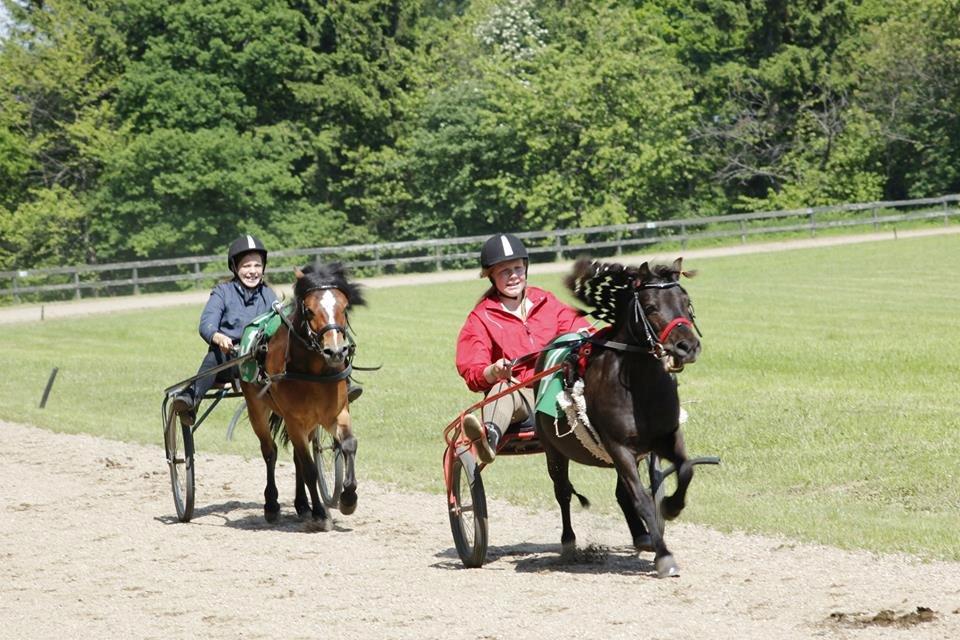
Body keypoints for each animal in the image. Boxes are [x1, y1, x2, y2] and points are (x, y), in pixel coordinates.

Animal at [536, 258, 700, 576]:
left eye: (686, 302)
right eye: (650, 306)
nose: (687, 347)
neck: (639, 388)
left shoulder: (665, 437)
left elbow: (685, 469)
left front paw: (670, 507)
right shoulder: (619, 446)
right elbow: (642, 500)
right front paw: (664, 556)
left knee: (620, 493)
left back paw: (642, 536)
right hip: (553, 449)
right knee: (562, 491)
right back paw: (568, 542)